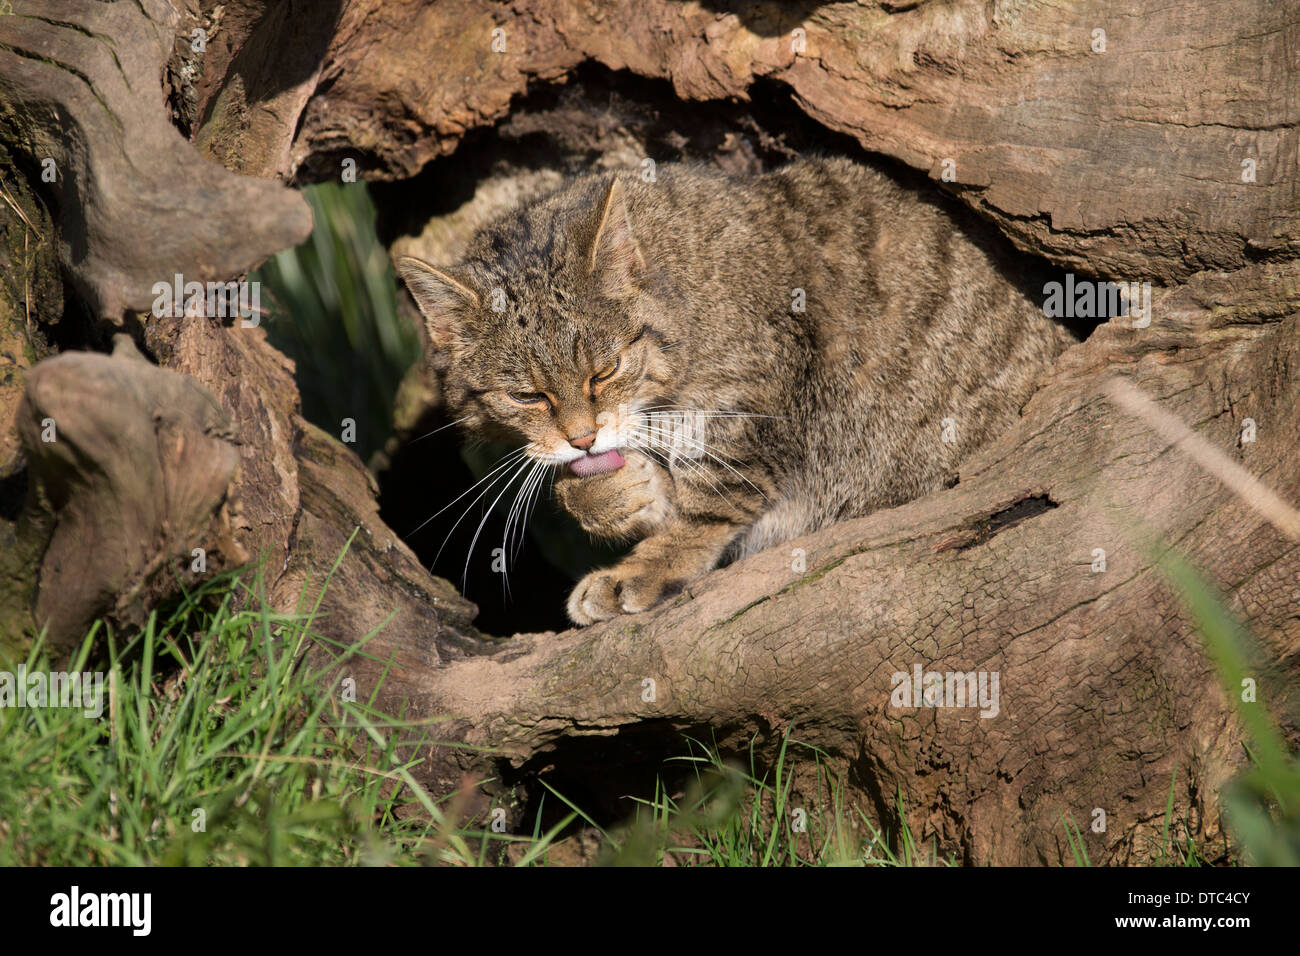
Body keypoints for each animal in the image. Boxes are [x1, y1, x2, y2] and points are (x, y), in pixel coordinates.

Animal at [400, 157, 1071, 624]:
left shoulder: (751, 413)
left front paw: (644, 567)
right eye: (527, 397)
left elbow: (711, 503)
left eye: (604, 370)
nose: (583, 438)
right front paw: (611, 492)